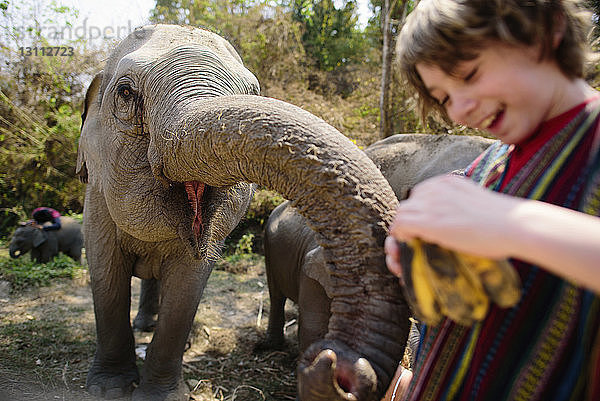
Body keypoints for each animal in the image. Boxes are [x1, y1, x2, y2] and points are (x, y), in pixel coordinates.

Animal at [75, 24, 410, 400]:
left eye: (254, 92)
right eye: (126, 92)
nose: (339, 366)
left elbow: (187, 284)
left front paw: (159, 394)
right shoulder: (95, 197)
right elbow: (105, 271)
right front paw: (108, 389)